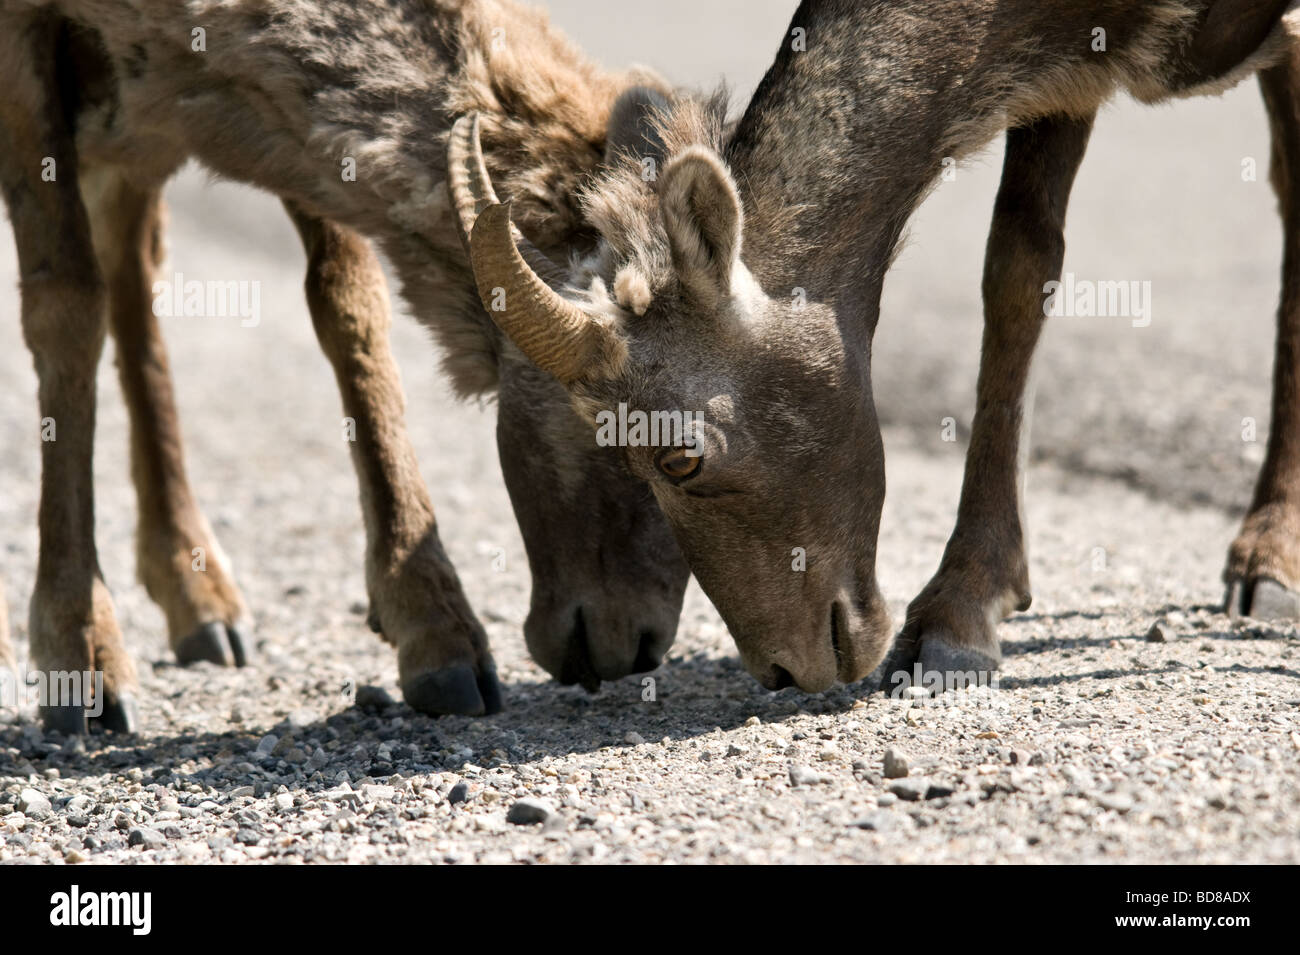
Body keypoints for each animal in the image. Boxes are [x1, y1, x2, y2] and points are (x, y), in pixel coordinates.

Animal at [454, 0, 1300, 691]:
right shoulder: (1064, 83)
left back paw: (1263, 569)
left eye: (680, 456)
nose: (789, 670)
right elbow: (1019, 270)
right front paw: (960, 623)